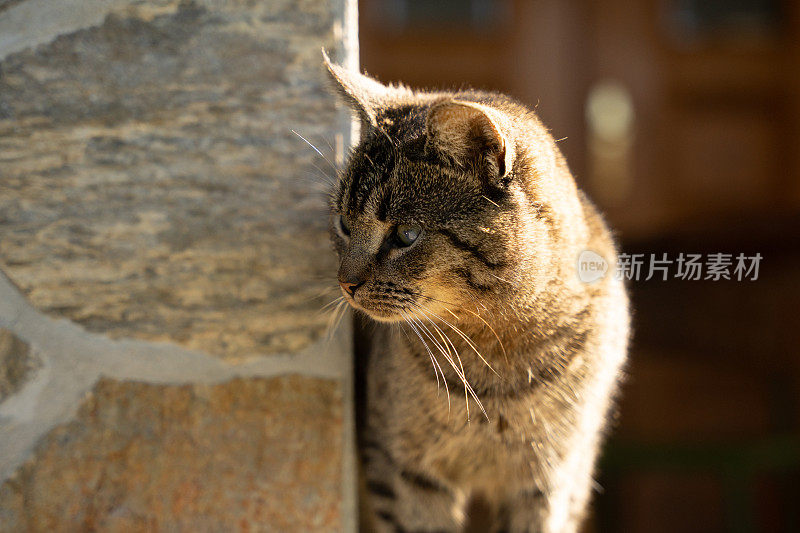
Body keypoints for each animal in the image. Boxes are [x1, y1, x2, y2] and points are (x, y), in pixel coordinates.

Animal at [324, 53, 632, 532]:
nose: (346, 282)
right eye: (343, 223)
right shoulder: (401, 467)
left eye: (406, 235)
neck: (497, 355)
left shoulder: (551, 480)